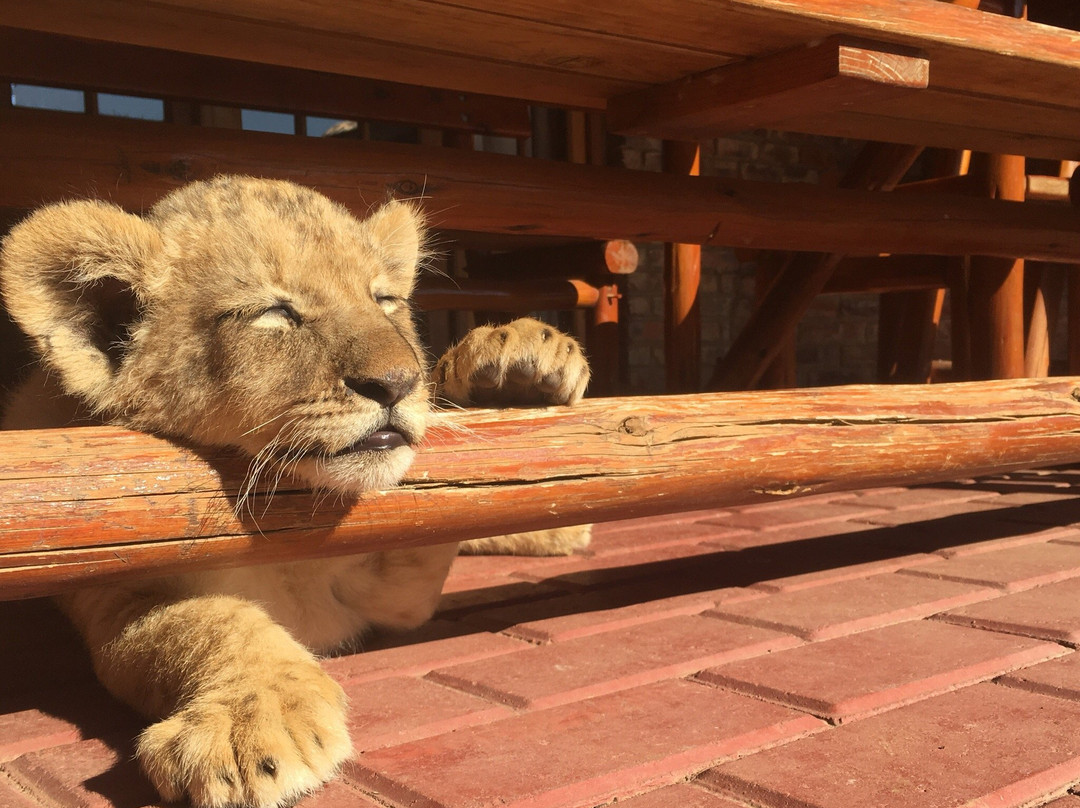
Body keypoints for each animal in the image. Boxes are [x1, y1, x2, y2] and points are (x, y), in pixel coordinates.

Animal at [0, 175, 591, 808]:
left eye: (383, 300)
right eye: (276, 313)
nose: (398, 383)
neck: (288, 515)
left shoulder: (394, 592)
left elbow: (454, 514)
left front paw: (517, 362)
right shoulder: (111, 585)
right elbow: (207, 622)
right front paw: (253, 720)